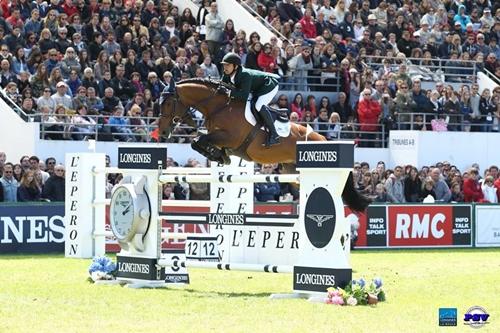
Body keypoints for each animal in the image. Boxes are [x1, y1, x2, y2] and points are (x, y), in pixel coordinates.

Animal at [158, 78, 370, 210]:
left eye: (168, 103)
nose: (162, 132)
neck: (219, 106)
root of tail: (324, 139)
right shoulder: (219, 138)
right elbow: (198, 142)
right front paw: (220, 156)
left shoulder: (229, 137)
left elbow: (199, 141)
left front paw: (219, 156)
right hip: (291, 171)